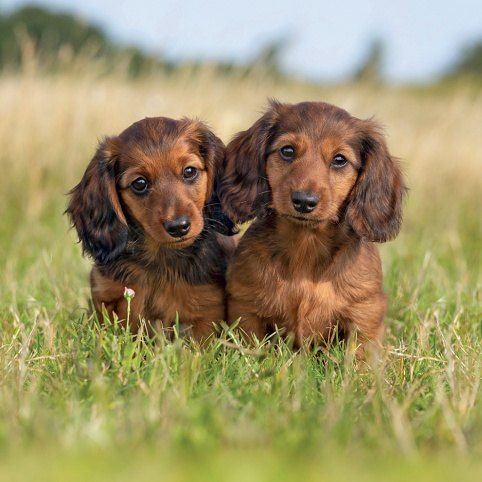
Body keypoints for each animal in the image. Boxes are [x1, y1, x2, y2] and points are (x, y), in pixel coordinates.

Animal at [67, 116, 237, 340]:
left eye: (189, 171)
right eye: (139, 183)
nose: (179, 227)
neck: (161, 260)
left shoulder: (207, 312)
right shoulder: (107, 298)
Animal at [218, 100, 406, 354]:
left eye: (339, 160)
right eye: (287, 151)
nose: (304, 202)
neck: (305, 247)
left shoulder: (365, 312)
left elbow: (360, 354)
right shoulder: (245, 305)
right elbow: (250, 345)